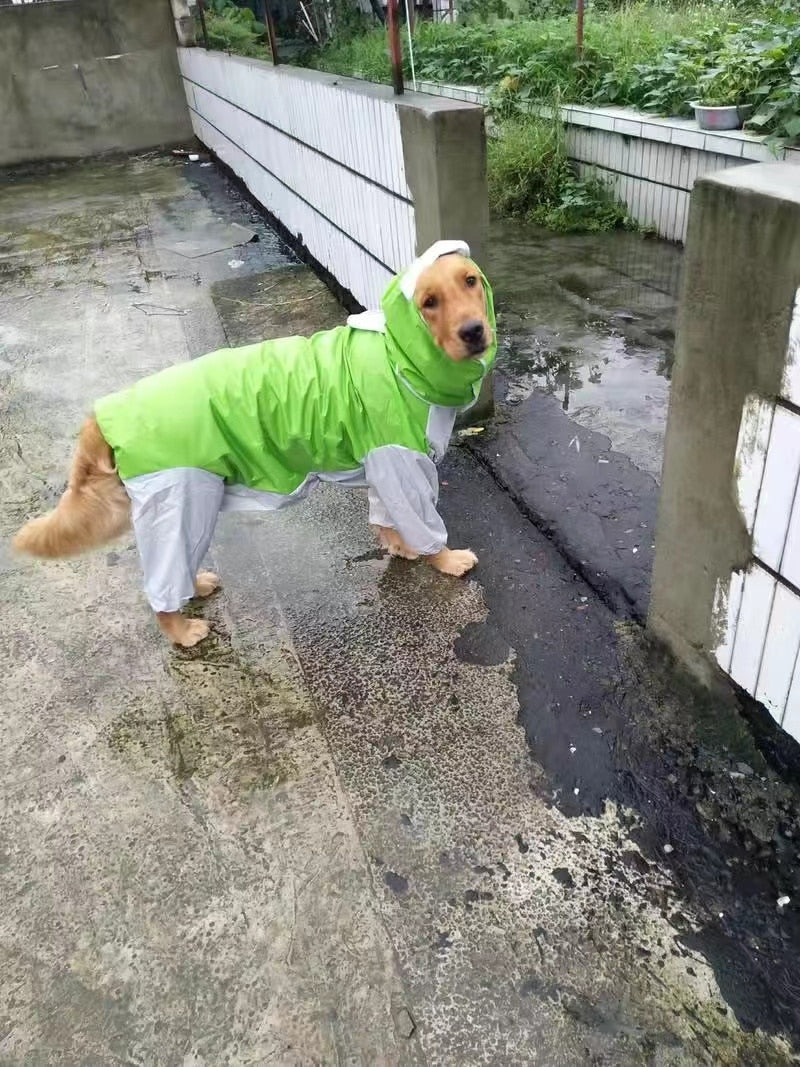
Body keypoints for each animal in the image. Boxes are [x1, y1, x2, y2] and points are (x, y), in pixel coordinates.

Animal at [14, 240, 494, 640]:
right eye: (428, 303)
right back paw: (181, 630)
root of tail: (104, 411)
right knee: (161, 584)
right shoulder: (401, 461)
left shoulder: (385, 462)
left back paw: (196, 586)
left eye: (470, 281)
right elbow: (424, 524)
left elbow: (386, 518)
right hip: (178, 500)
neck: (399, 357)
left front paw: (399, 547)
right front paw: (446, 560)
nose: (474, 331)